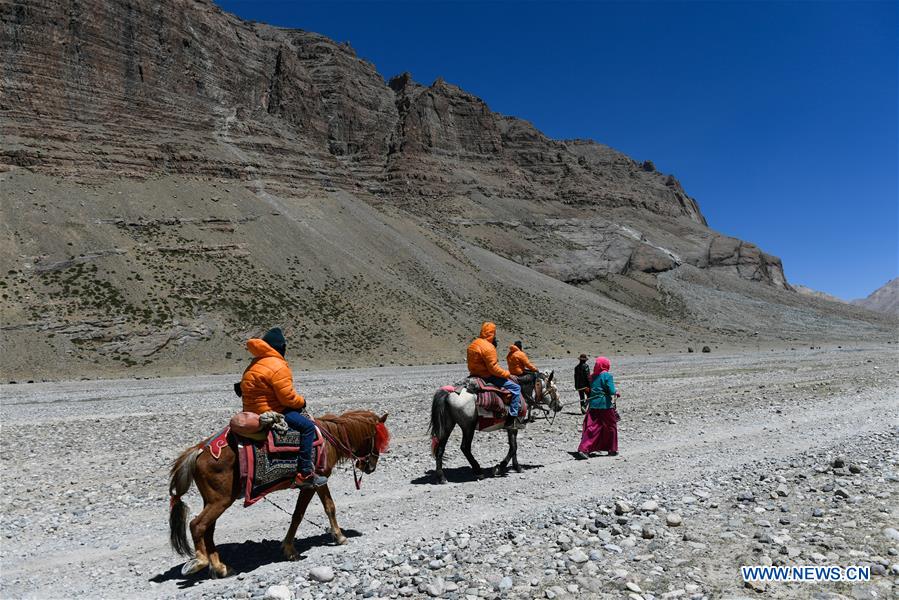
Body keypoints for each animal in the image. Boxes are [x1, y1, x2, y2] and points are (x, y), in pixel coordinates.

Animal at [171, 408, 388, 576]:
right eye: (376, 439)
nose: (371, 466)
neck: (328, 439)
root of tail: (199, 450)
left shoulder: (314, 484)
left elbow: (309, 511)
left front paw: (292, 549)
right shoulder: (315, 482)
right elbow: (318, 509)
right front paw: (338, 537)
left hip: (213, 500)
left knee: (208, 530)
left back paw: (221, 567)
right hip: (220, 500)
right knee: (197, 525)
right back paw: (200, 562)